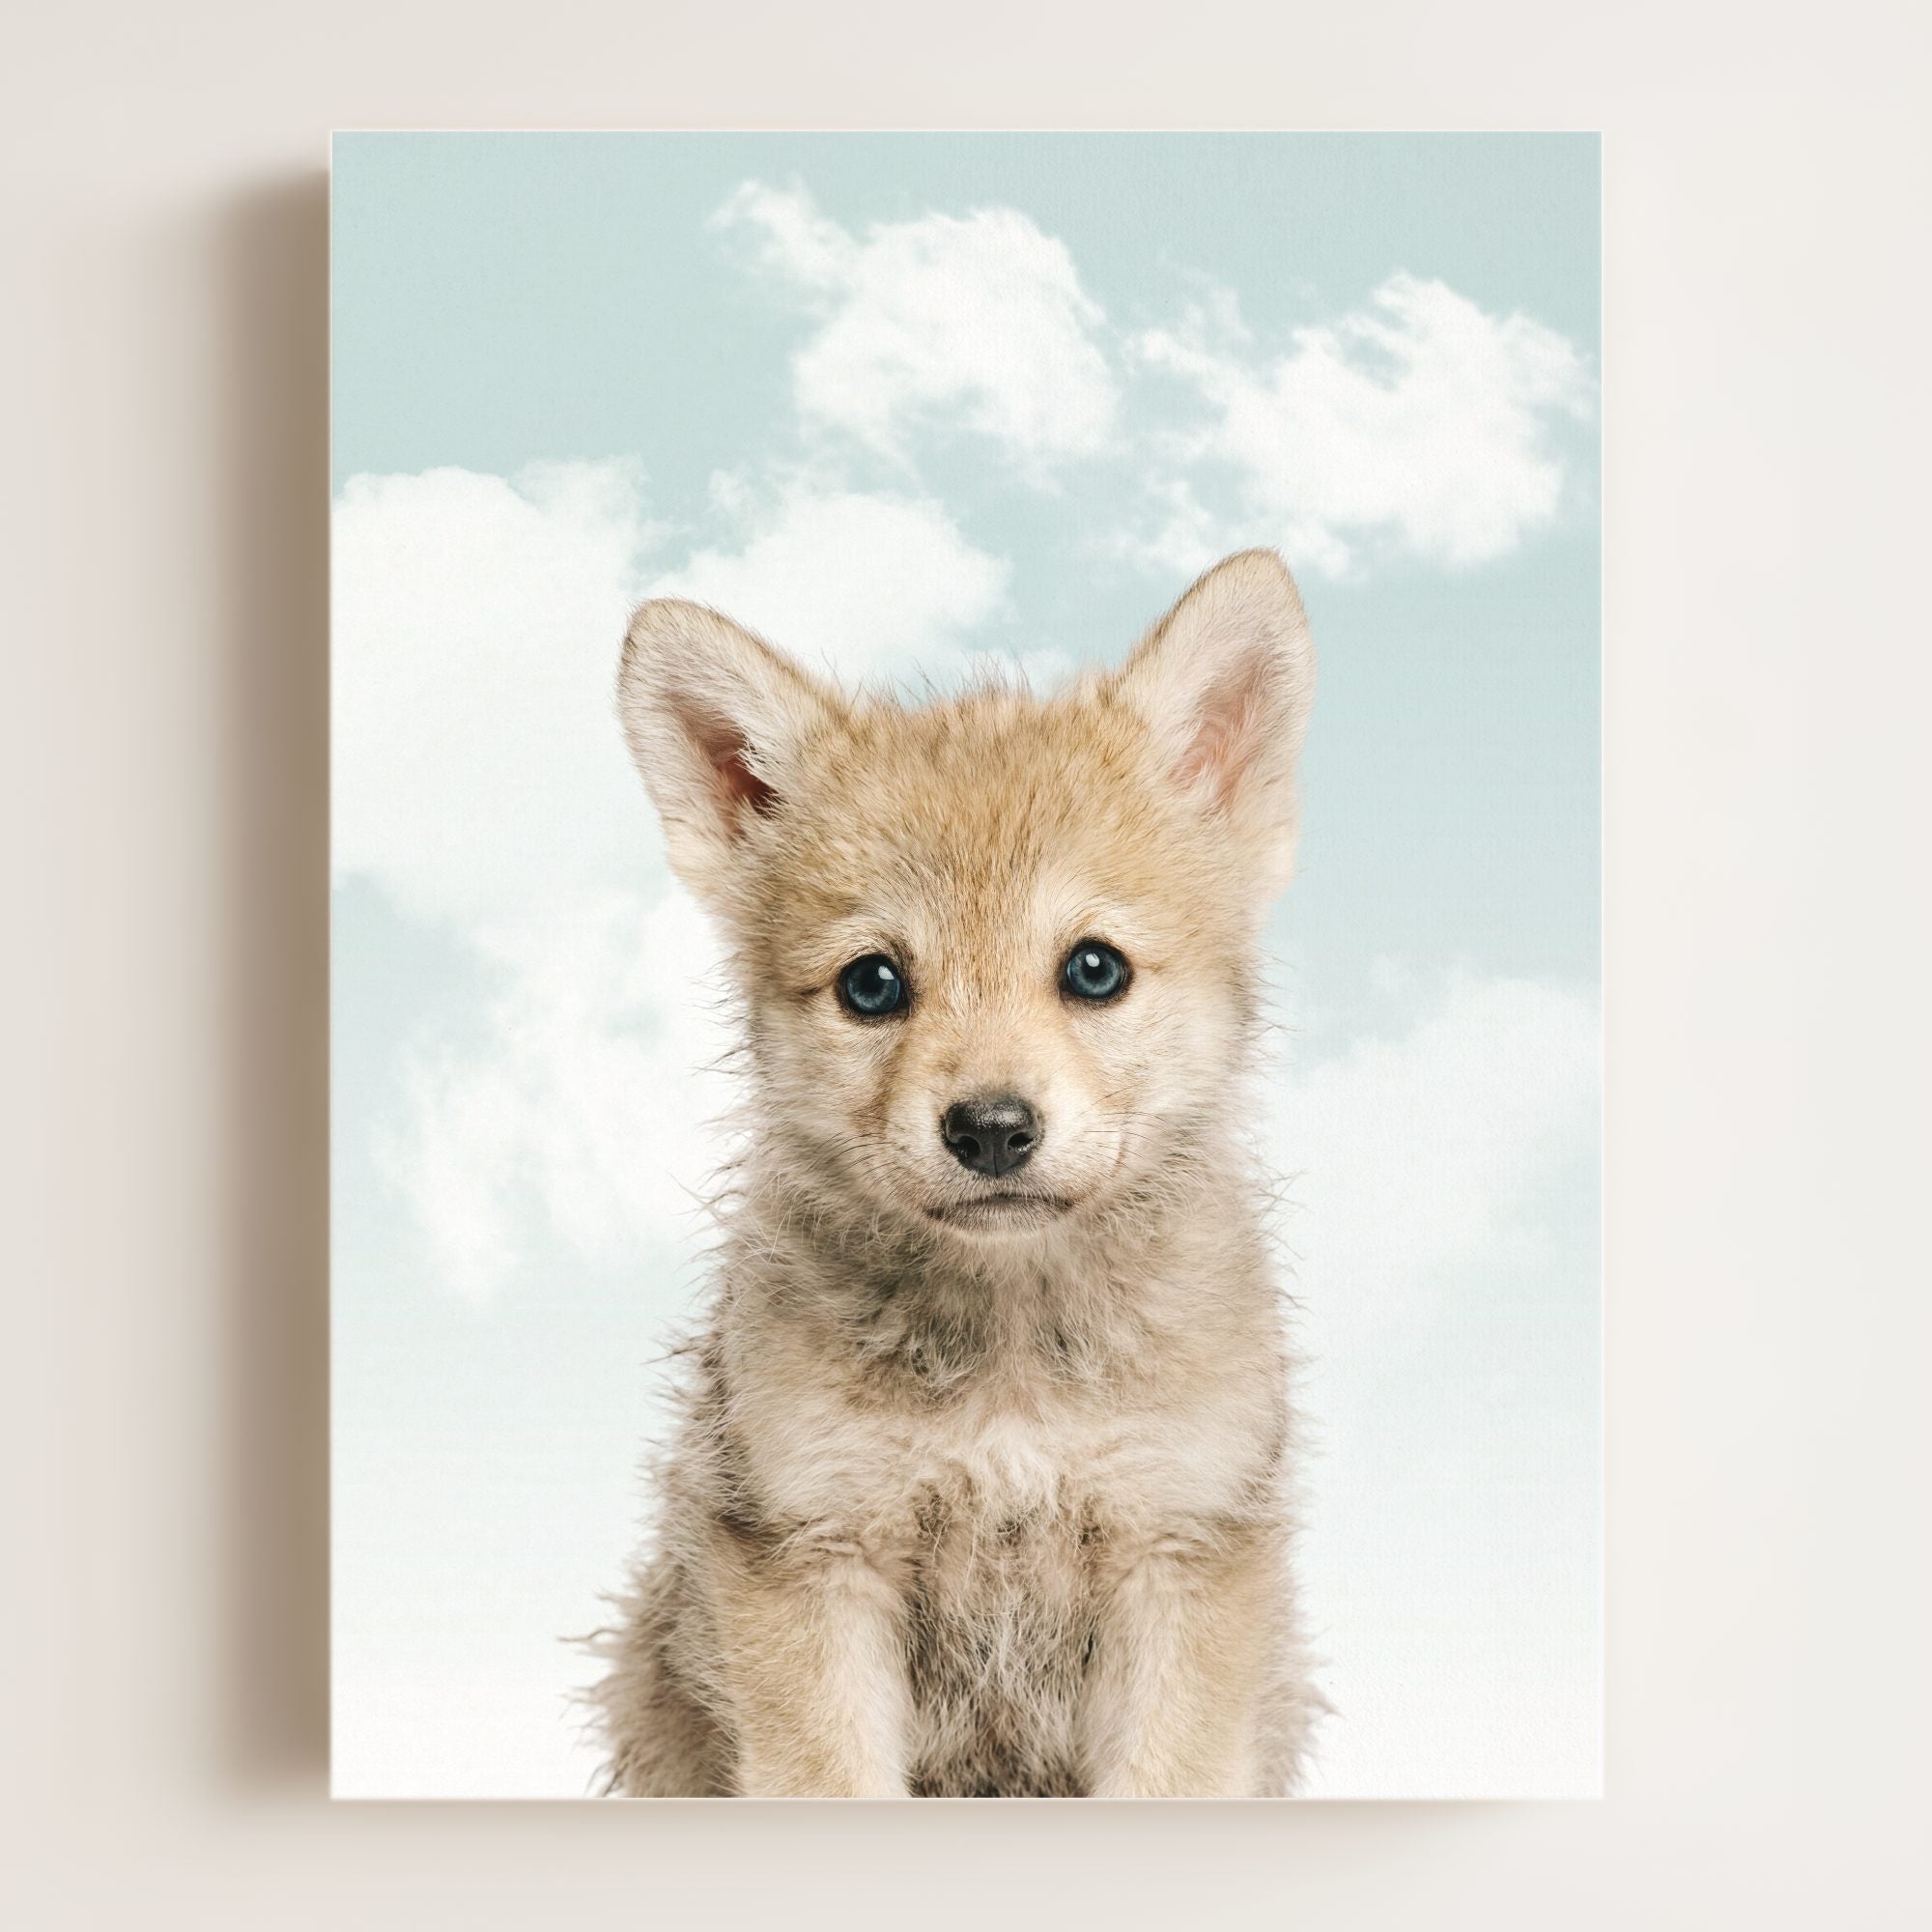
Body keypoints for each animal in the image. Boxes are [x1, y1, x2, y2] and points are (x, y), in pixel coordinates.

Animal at [590, 549, 1323, 1797]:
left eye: (1093, 968)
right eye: (871, 983)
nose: (989, 1128)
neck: (1011, 1368)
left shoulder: (1178, 1549)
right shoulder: (813, 1553)